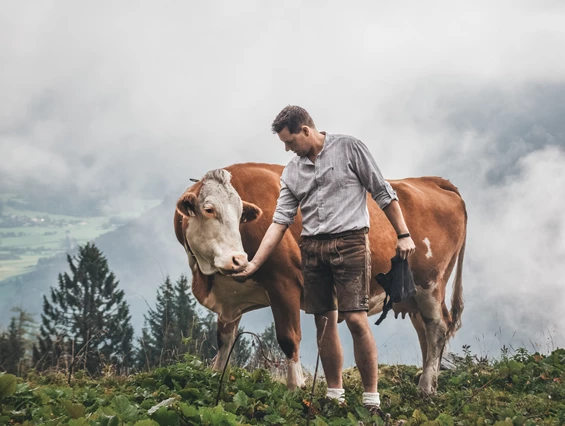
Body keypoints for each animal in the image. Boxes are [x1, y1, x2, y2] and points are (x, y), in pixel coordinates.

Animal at [174, 162, 464, 392]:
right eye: (209, 209)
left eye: (240, 216)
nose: (239, 260)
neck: (208, 277)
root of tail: (432, 180)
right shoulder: (230, 297)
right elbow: (224, 341)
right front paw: (214, 377)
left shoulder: (284, 282)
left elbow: (288, 337)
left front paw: (296, 386)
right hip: (413, 295)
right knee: (425, 330)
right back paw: (429, 379)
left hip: (429, 282)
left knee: (437, 327)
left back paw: (425, 387)